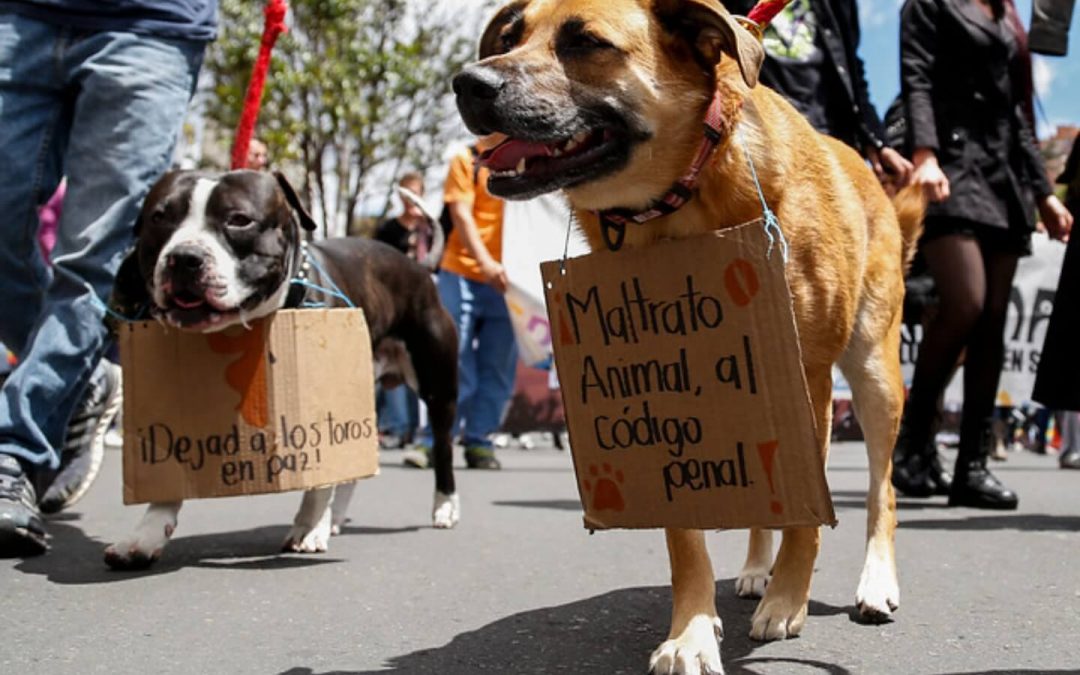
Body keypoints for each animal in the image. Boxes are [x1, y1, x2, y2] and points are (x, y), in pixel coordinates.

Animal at [99, 169, 457, 570]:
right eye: (160, 217)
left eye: (239, 220)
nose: (184, 257)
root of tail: (420, 267)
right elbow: (170, 477)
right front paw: (145, 535)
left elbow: (319, 479)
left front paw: (310, 527)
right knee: (352, 468)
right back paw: (337, 518)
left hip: (437, 387)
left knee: (443, 446)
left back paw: (444, 507)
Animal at [451, 0, 924, 669]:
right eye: (511, 38)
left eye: (585, 42)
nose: (468, 83)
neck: (680, 203)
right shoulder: (671, 400)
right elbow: (686, 535)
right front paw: (692, 631)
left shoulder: (804, 379)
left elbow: (808, 519)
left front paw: (788, 599)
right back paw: (755, 569)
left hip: (875, 377)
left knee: (881, 493)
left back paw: (873, 581)